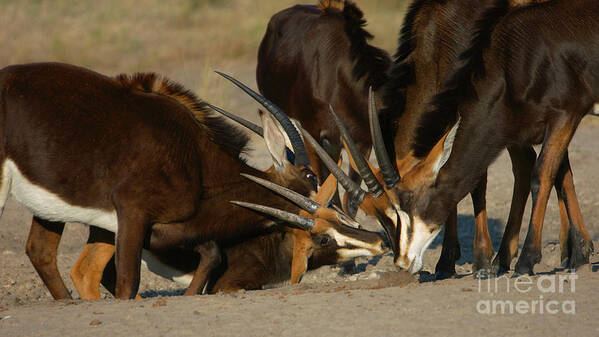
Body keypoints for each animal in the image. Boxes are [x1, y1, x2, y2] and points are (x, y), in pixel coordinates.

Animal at [2, 61, 326, 298]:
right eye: (310, 177)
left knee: (43, 252)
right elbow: (128, 282)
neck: (195, 157)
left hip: (51, 209)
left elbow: (212, 252)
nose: (329, 221)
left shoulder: (166, 228)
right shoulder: (133, 214)